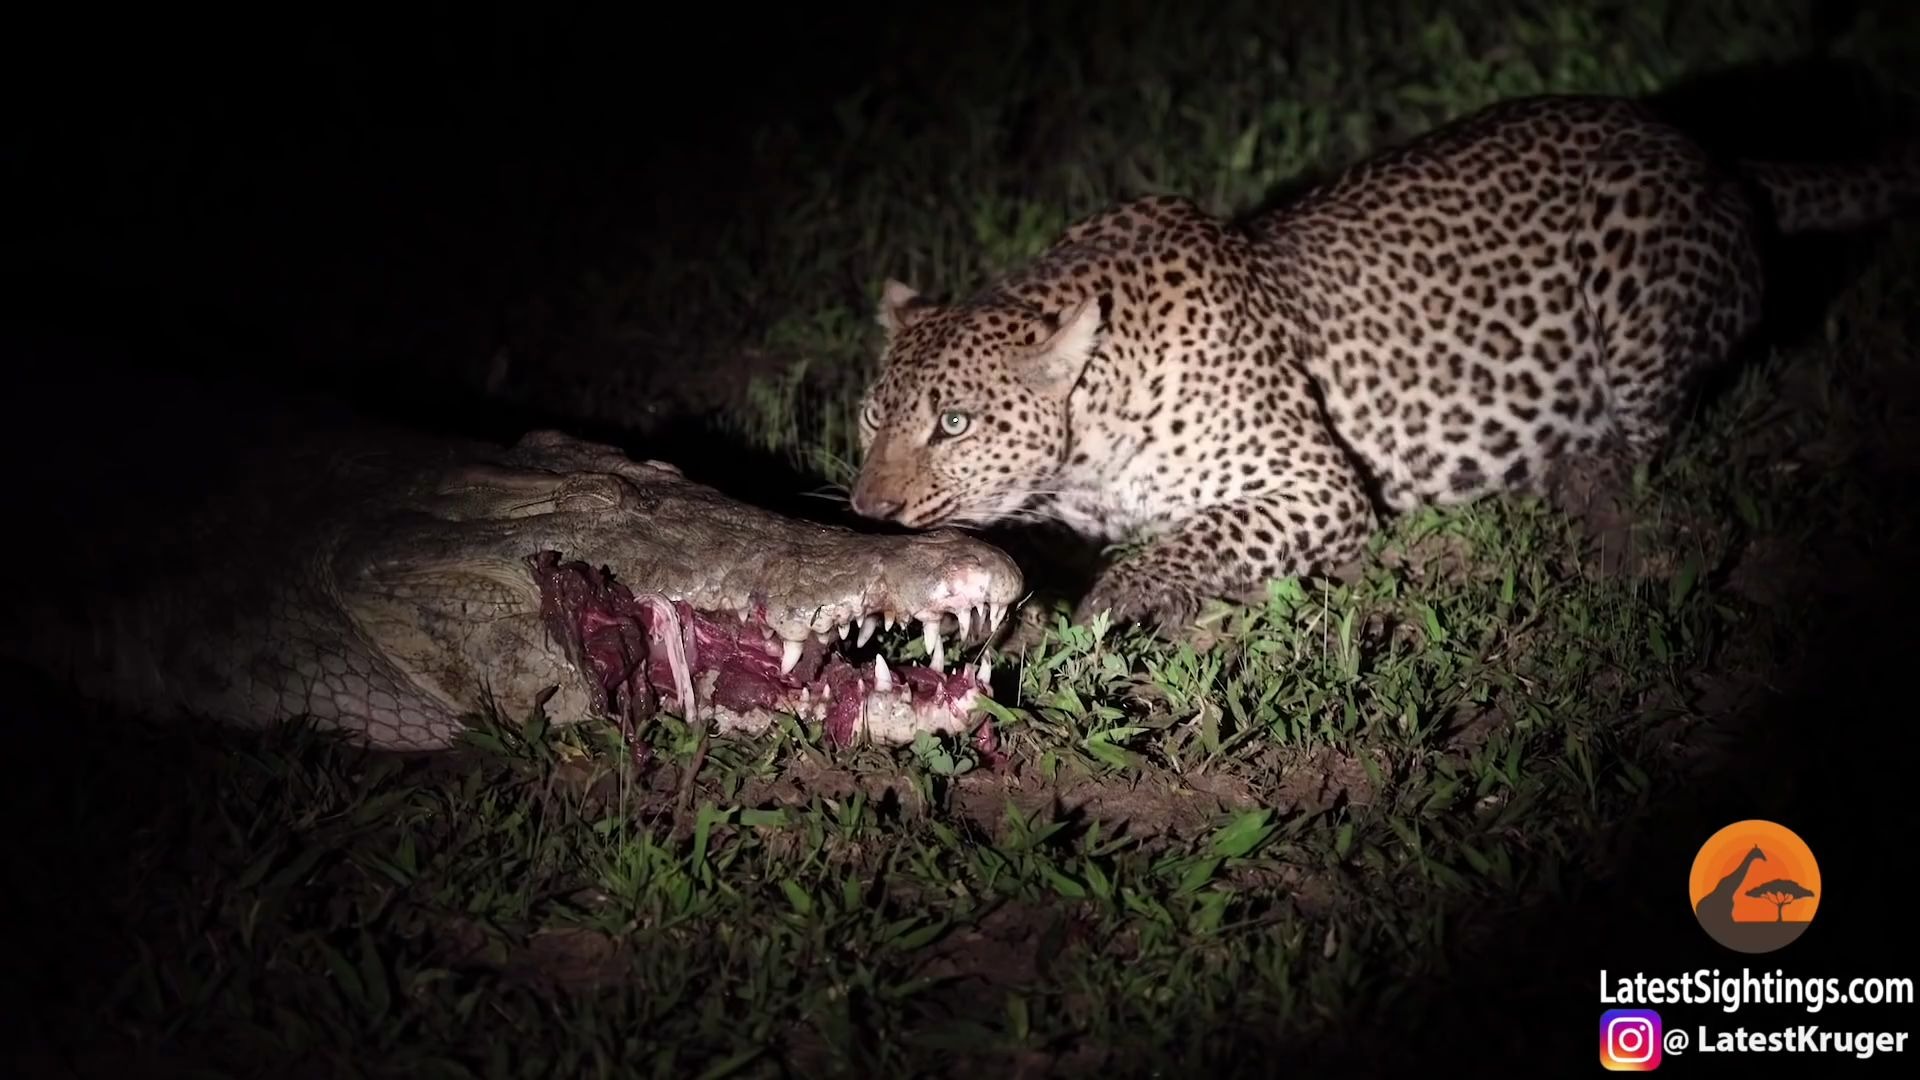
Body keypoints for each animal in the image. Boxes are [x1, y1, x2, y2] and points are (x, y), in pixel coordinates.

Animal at [848, 94, 1912, 638]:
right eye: (871, 416)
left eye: (955, 422)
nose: (869, 511)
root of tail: (1716, 155)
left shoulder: (1315, 485)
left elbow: (1198, 534)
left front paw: (1121, 596)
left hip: (1635, 288)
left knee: (1652, 442)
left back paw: (1584, 476)